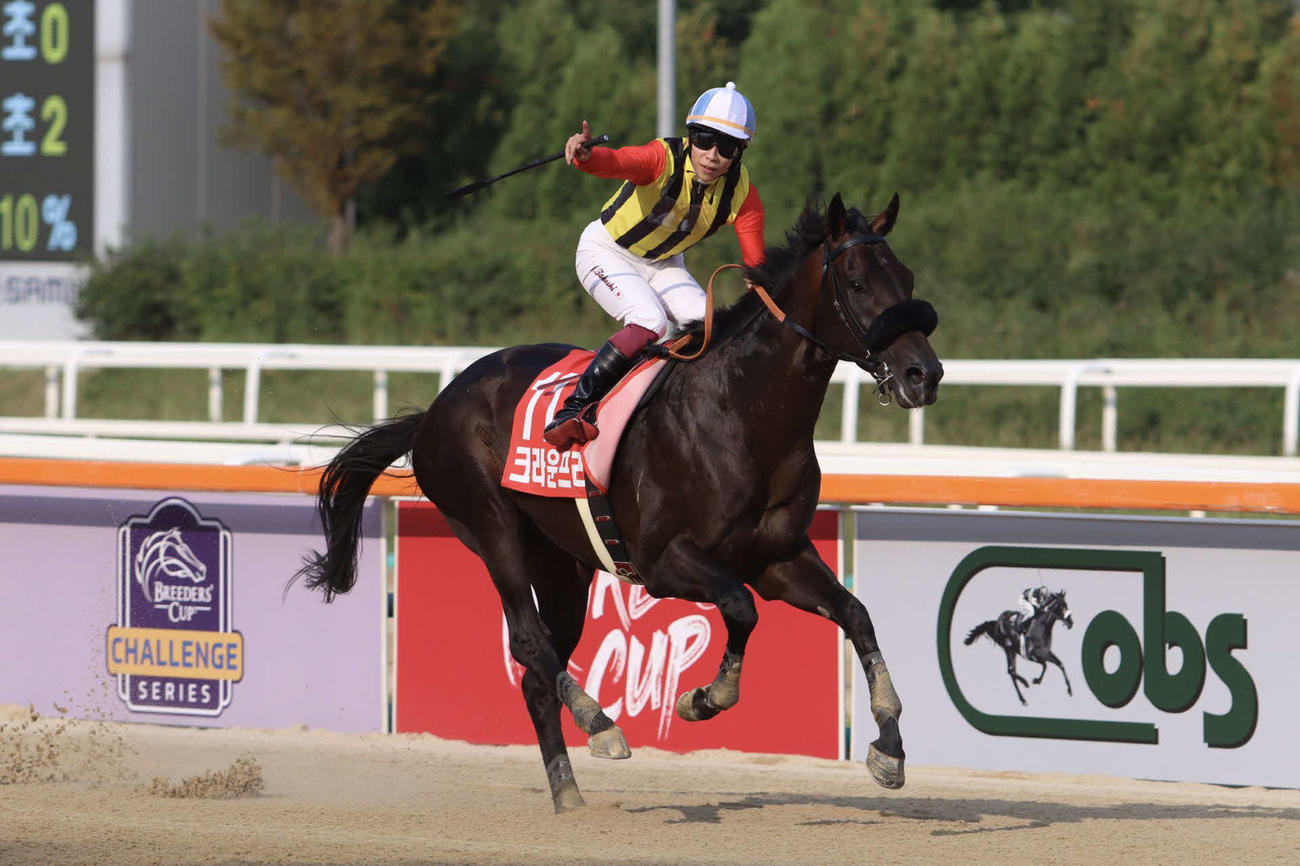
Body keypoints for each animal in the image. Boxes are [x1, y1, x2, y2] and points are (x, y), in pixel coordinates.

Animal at [296, 193, 944, 813]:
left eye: (908, 278)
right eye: (857, 283)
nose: (925, 374)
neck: (742, 412)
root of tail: (434, 409)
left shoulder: (775, 558)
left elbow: (855, 613)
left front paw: (888, 746)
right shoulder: (664, 561)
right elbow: (740, 609)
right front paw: (704, 697)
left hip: (563, 563)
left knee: (537, 672)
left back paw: (569, 794)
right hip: (491, 527)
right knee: (527, 640)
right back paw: (600, 723)